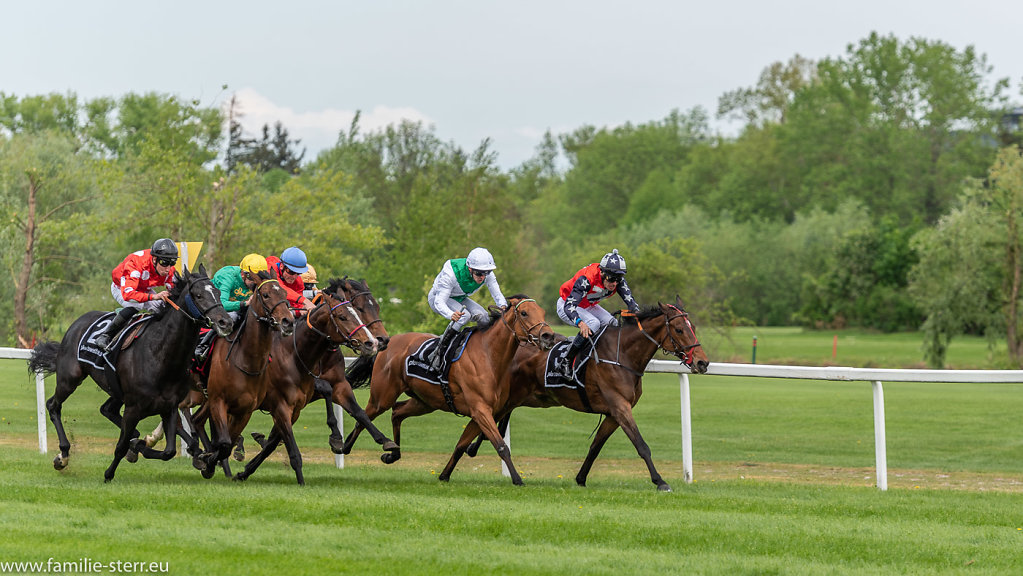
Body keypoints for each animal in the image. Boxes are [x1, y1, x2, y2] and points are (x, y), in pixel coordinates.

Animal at [25, 266, 234, 482]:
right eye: (199, 295)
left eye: (218, 292)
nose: (225, 322)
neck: (160, 354)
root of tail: (76, 323)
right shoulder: (133, 407)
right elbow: (121, 446)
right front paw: (109, 473)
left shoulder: (169, 407)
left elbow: (168, 451)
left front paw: (140, 446)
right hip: (69, 378)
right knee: (53, 405)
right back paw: (63, 454)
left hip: (115, 390)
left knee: (107, 410)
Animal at [190, 270, 294, 478]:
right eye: (266, 295)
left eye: (285, 294)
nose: (288, 321)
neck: (245, 359)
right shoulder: (218, 401)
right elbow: (223, 442)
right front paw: (208, 460)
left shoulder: (244, 410)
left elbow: (227, 444)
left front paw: (209, 460)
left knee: (196, 420)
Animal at [230, 286, 384, 484]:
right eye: (358, 309)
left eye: (376, 307)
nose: (376, 341)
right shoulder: (297, 394)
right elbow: (326, 390)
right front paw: (336, 437)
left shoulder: (339, 385)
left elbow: (359, 412)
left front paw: (386, 442)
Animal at [343, 294, 556, 484]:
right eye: (524, 313)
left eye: (543, 312)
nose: (548, 335)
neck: (489, 356)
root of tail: (386, 343)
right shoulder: (480, 410)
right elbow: (501, 446)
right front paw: (518, 480)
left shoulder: (483, 412)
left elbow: (461, 445)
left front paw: (444, 475)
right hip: (382, 397)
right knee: (364, 416)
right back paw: (346, 446)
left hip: (425, 402)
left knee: (397, 412)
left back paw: (393, 454)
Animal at [458, 300, 707, 493]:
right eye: (679, 329)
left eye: (693, 326)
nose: (702, 362)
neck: (622, 354)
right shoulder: (620, 406)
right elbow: (641, 444)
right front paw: (660, 481)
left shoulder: (613, 413)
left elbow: (596, 446)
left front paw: (580, 478)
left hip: (517, 397)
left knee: (497, 423)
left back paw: (472, 448)